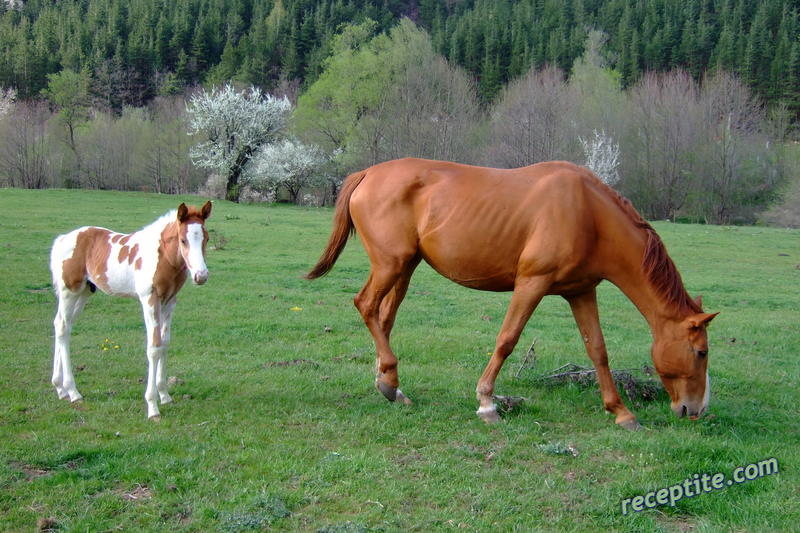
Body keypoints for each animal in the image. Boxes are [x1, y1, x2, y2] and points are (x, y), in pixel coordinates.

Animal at [48, 202, 212, 418]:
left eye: (206, 238)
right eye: (183, 240)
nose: (201, 276)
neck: (163, 257)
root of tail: (62, 240)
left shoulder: (169, 301)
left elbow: (165, 343)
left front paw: (164, 395)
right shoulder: (149, 299)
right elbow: (154, 347)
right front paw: (152, 406)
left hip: (85, 292)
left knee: (62, 326)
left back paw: (60, 388)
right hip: (70, 291)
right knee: (62, 327)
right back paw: (72, 391)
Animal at [306, 157, 720, 428]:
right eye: (700, 352)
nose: (696, 409)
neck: (588, 214)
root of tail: (368, 173)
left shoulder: (581, 292)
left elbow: (598, 351)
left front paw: (620, 412)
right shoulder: (532, 283)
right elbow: (507, 339)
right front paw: (487, 402)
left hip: (405, 268)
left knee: (385, 317)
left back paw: (389, 384)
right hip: (390, 265)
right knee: (366, 305)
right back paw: (390, 381)